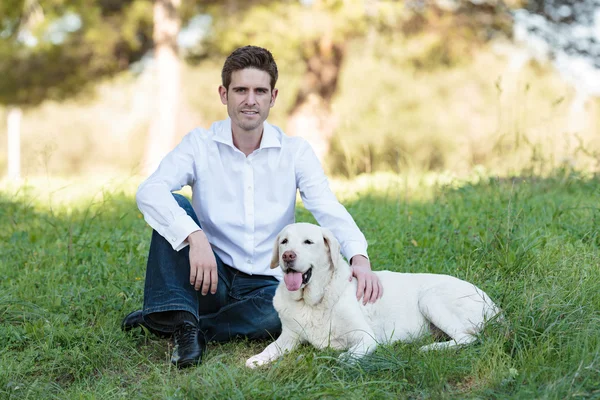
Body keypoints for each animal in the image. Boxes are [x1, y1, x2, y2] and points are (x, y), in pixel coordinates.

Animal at [244, 223, 502, 368]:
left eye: (308, 242)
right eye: (284, 241)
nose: (287, 255)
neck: (313, 300)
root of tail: (495, 307)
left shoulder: (365, 339)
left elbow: (346, 356)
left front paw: (338, 360)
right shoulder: (289, 337)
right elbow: (271, 348)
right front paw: (257, 359)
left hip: (430, 297)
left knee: (467, 337)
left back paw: (430, 349)